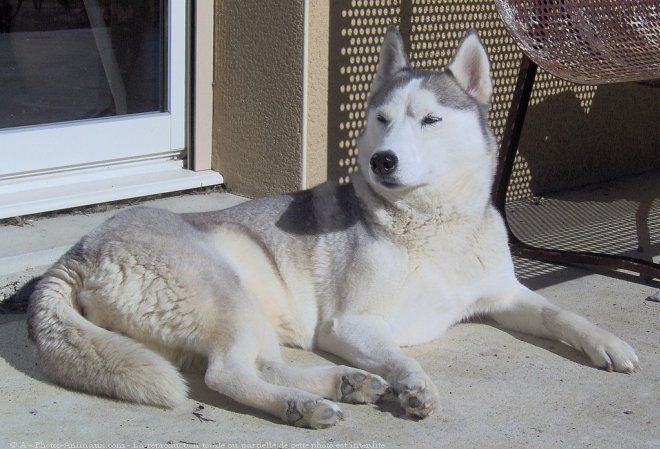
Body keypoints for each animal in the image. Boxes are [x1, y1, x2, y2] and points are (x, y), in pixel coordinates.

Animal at [28, 27, 636, 428]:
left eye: (431, 120)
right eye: (382, 120)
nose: (383, 161)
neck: (435, 225)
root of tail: (76, 252)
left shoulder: (506, 296)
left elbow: (563, 314)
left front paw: (608, 344)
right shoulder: (351, 325)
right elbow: (402, 356)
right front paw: (415, 385)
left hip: (247, 306)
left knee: (264, 362)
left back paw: (342, 384)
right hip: (223, 290)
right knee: (227, 374)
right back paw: (305, 404)